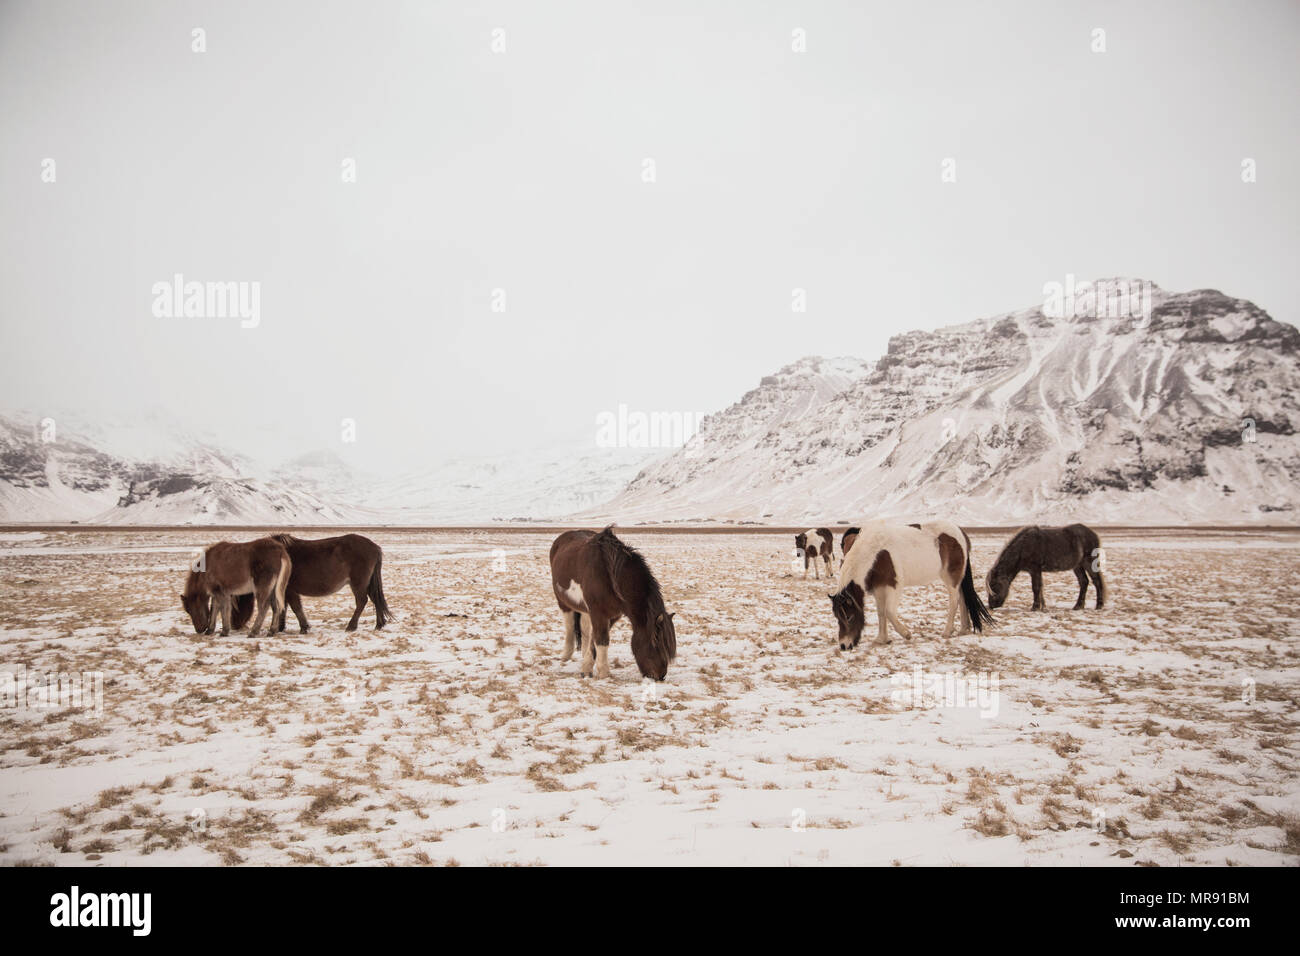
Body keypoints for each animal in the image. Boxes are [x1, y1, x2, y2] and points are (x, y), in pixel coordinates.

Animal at [228, 535, 390, 632]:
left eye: (236, 606)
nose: (235, 626)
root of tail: (374, 547)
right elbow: (284, 607)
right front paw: (281, 627)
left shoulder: (290, 590)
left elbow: (295, 607)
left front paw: (303, 627)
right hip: (367, 583)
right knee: (375, 600)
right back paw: (379, 624)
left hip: (358, 583)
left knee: (362, 601)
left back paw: (351, 626)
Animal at [546, 530, 676, 681]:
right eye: (655, 642)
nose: (660, 676)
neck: (610, 577)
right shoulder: (599, 613)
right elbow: (602, 641)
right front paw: (604, 674)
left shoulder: (611, 616)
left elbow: (595, 641)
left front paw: (586, 668)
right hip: (563, 602)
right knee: (569, 626)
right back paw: (565, 656)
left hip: (585, 610)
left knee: (585, 630)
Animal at [826, 522, 987, 650]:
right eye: (837, 617)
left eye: (849, 617)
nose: (844, 645)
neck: (876, 553)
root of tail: (960, 533)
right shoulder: (879, 588)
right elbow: (881, 613)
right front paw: (881, 639)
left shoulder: (893, 587)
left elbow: (889, 612)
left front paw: (906, 634)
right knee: (963, 599)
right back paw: (963, 629)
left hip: (950, 579)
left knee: (954, 601)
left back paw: (947, 632)